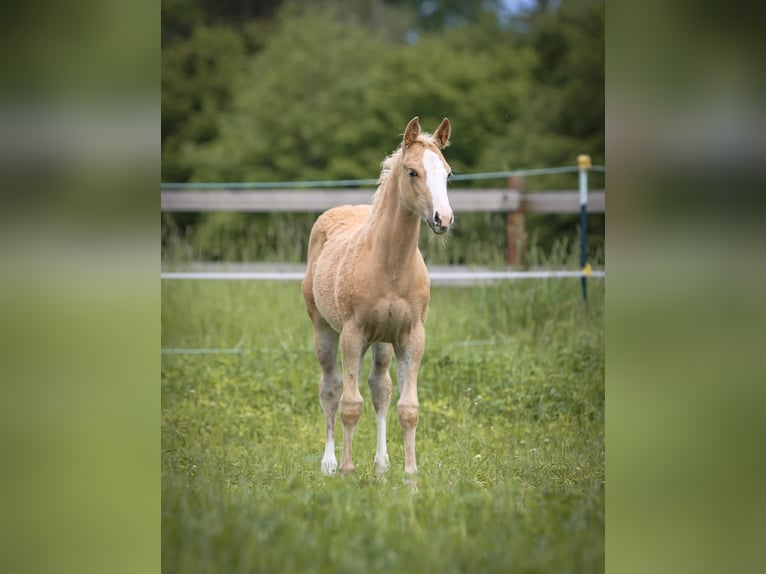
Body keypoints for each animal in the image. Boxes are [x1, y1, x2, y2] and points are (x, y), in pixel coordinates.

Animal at [302, 116, 456, 476]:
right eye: (412, 171)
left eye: (447, 173)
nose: (443, 219)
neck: (390, 266)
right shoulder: (352, 334)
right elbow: (349, 404)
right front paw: (346, 472)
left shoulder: (411, 336)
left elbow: (407, 407)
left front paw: (410, 476)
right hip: (325, 329)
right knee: (330, 388)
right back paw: (329, 462)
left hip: (383, 341)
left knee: (380, 388)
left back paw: (382, 464)